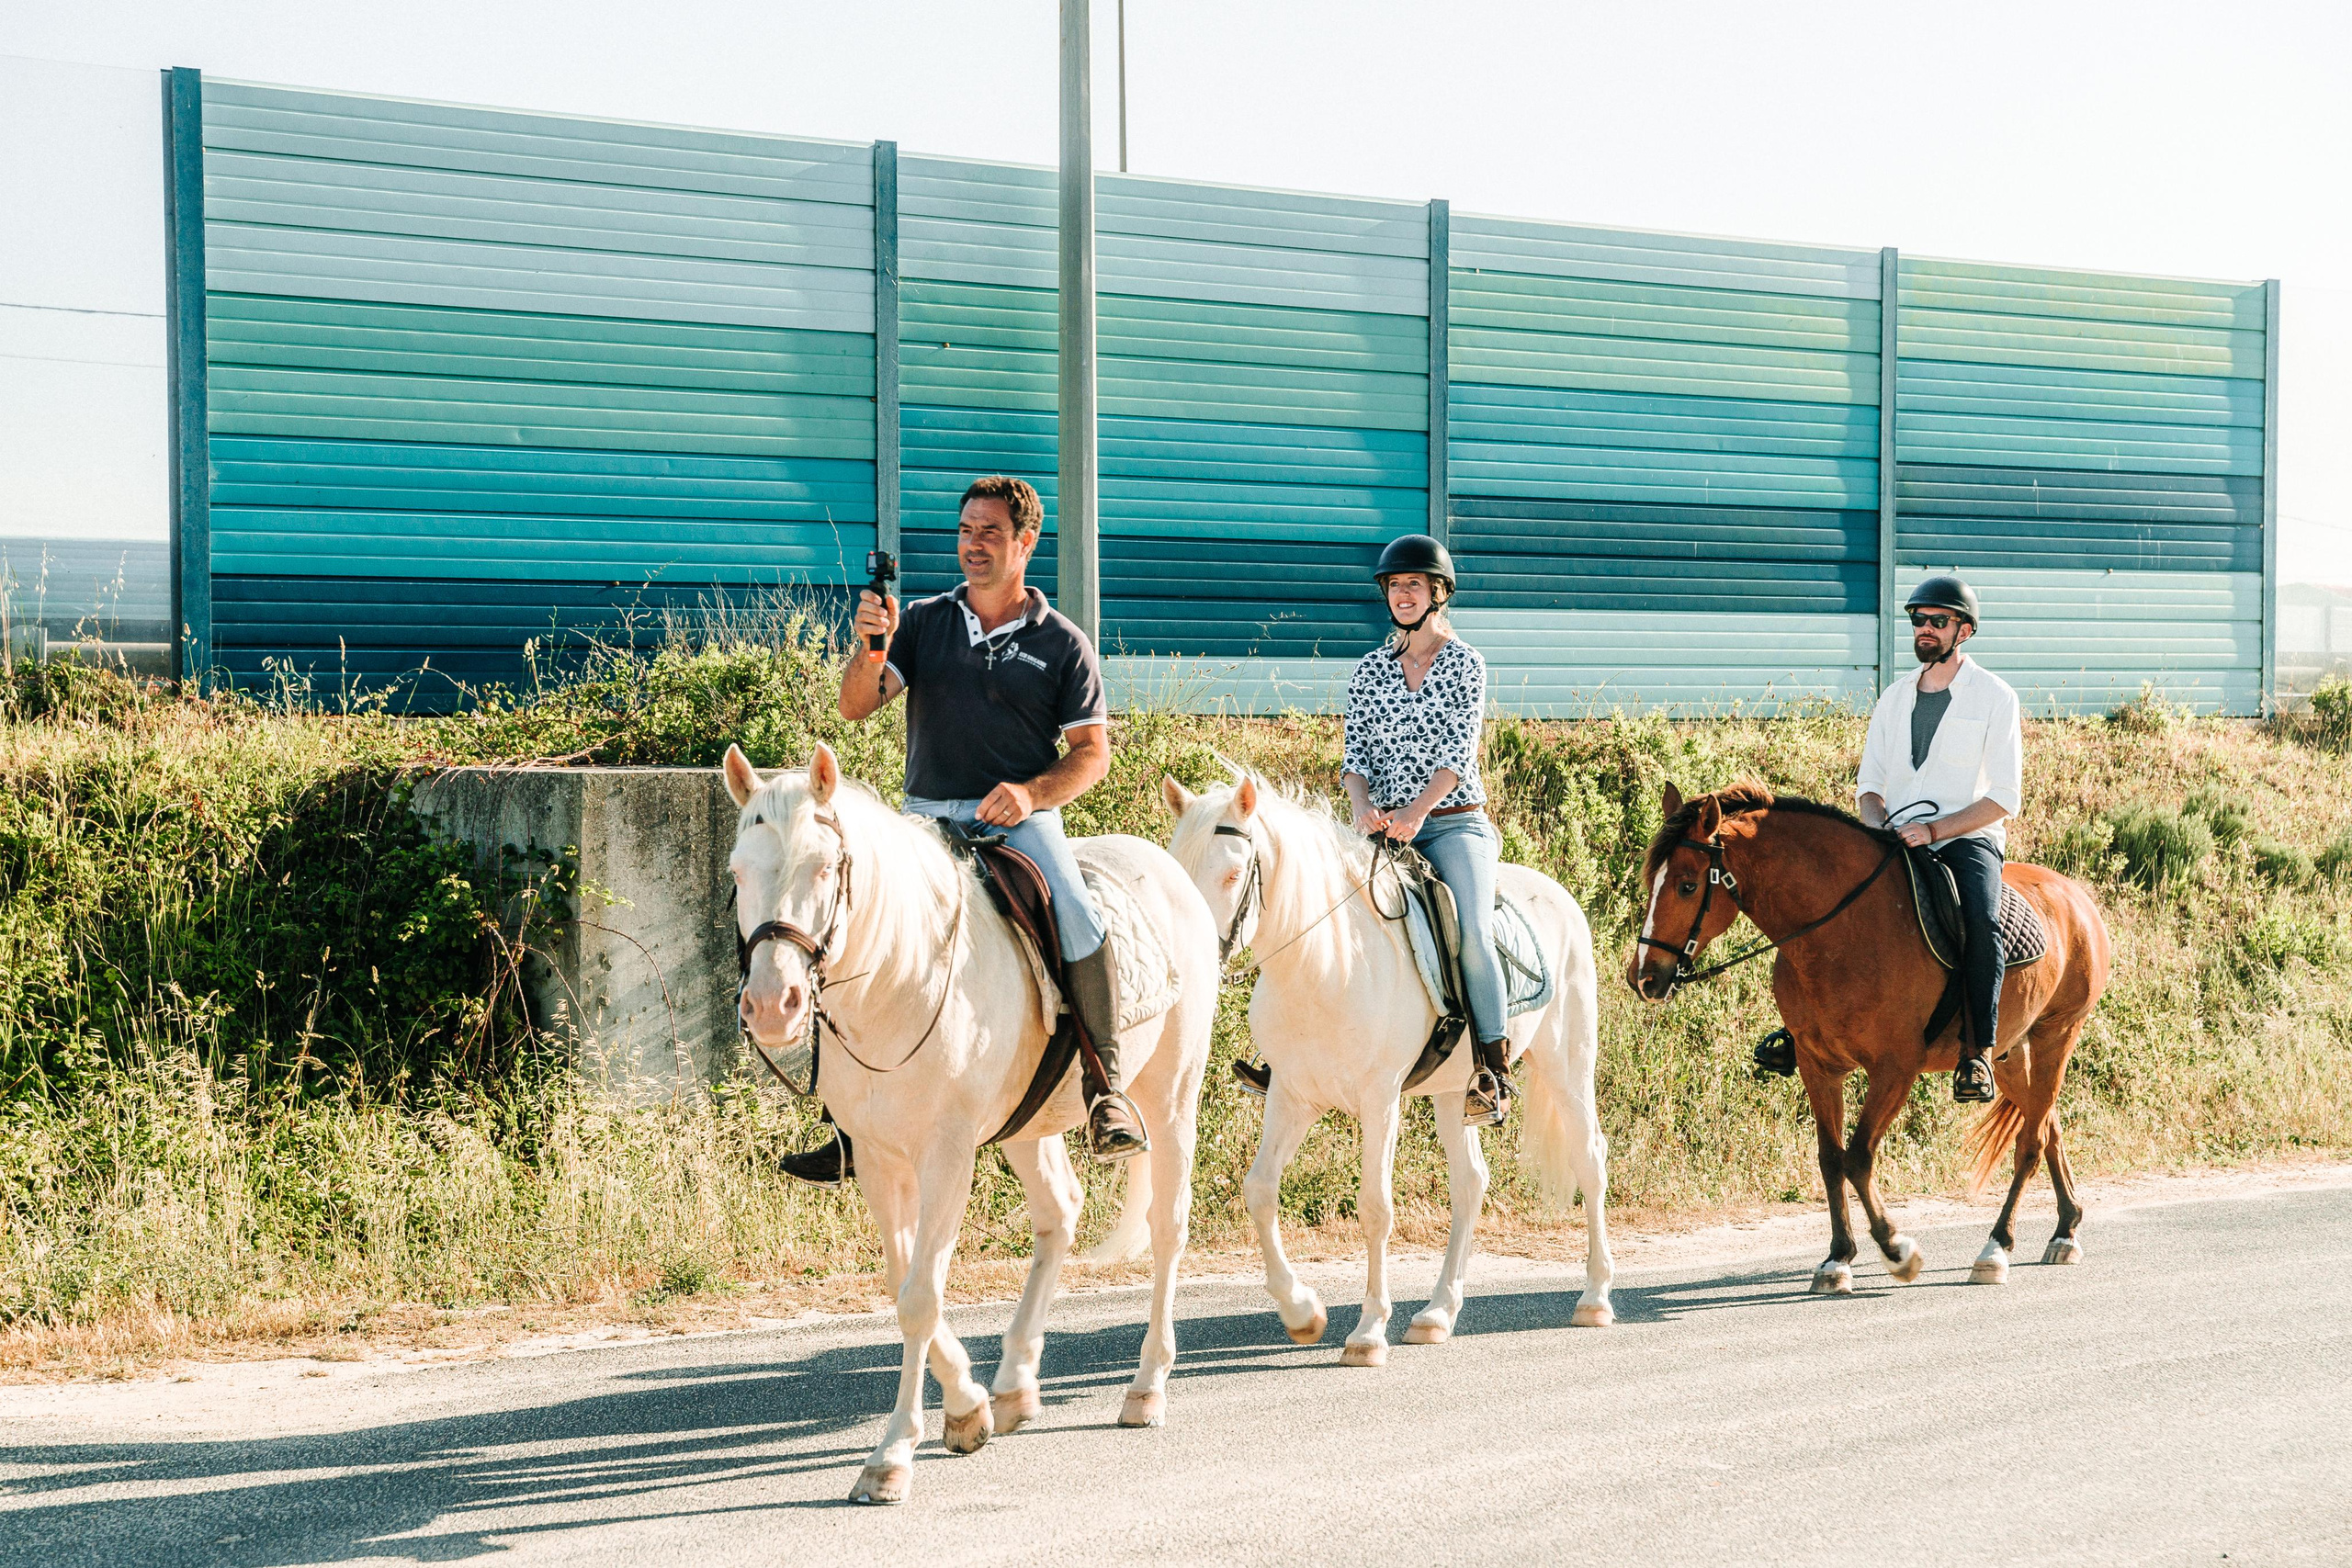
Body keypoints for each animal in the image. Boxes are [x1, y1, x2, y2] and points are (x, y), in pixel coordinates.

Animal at [725, 742, 1218, 1505]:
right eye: (738, 872)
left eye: (825, 867)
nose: (773, 1006)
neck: (900, 978)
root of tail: (1165, 866)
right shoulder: (879, 1159)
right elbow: (903, 1282)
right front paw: (968, 1407)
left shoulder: (947, 1153)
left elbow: (921, 1296)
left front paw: (892, 1455)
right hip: (1027, 1128)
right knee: (1060, 1210)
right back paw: (1015, 1385)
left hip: (1172, 1098)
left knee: (1167, 1226)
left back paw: (1146, 1387)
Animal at [1160, 771, 1614, 1361]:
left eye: (1234, 873)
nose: (1188, 960)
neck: (1326, 964)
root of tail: (1560, 895)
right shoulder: (1291, 1096)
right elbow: (1259, 1190)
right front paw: (1302, 1313)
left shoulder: (1380, 1099)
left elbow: (1374, 1207)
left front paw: (1368, 1332)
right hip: (1455, 1092)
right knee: (1471, 1183)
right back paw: (1437, 1314)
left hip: (1568, 1064)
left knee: (1589, 1158)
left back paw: (1595, 1298)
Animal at [1626, 781, 2111, 1293]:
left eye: (1687, 885)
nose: (1644, 978)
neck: (1842, 932)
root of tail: (2075, 895)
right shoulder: (1818, 1066)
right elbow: (1830, 1158)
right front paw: (1838, 1258)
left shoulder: (1895, 1069)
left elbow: (1858, 1157)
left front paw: (1897, 1250)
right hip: (2009, 1050)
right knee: (2048, 1125)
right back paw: (2066, 1229)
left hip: (2058, 1033)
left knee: (2030, 1144)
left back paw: (1997, 1247)